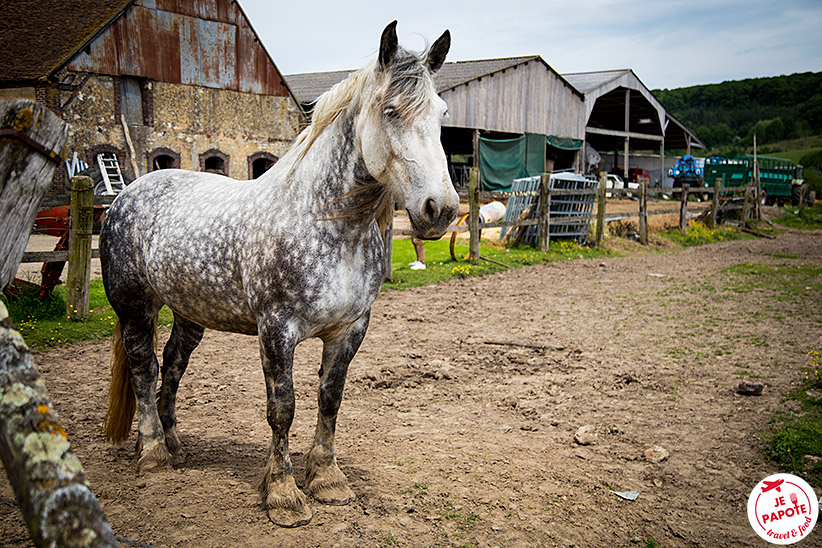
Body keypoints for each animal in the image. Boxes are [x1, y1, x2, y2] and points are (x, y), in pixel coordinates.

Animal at [100, 21, 458, 528]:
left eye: (442, 114)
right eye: (391, 111)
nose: (439, 209)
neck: (324, 222)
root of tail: (126, 194)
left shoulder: (350, 330)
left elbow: (329, 398)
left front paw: (327, 480)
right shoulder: (276, 331)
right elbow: (282, 410)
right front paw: (284, 495)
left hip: (190, 313)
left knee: (171, 366)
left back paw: (174, 447)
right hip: (135, 308)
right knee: (143, 369)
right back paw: (151, 454)